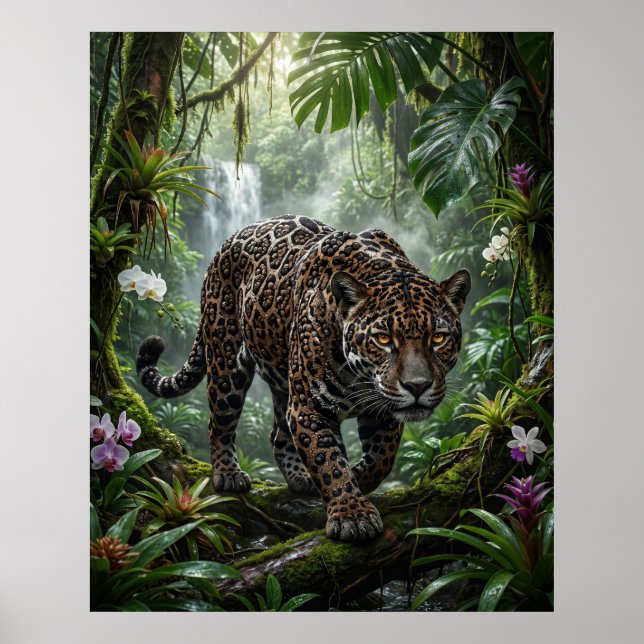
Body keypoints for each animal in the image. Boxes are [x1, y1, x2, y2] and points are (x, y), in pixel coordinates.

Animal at [136, 215, 471, 542]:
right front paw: (352, 515)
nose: (417, 386)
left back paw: (300, 477)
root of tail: (226, 244)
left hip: (284, 382)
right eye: (384, 339)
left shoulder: (383, 410)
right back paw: (228, 475)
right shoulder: (309, 409)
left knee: (277, 433)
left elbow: (381, 460)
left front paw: (357, 480)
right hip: (226, 360)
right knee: (219, 421)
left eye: (438, 338)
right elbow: (330, 462)